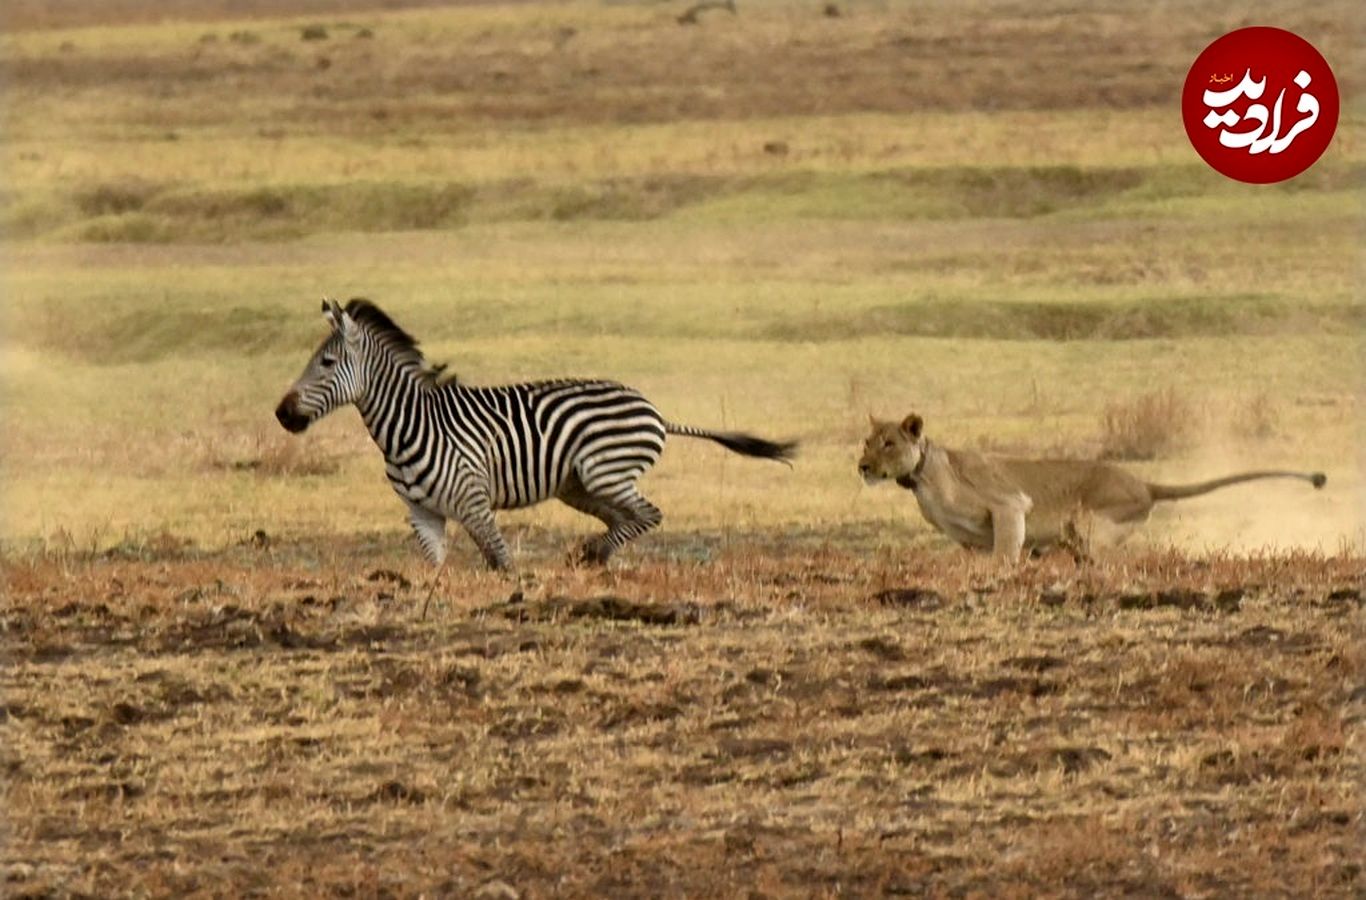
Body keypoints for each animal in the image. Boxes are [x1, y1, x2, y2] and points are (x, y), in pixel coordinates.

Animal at [271, 303, 797, 570]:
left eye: (327, 363)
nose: (282, 414)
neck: (408, 424)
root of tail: (655, 410)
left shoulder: (474, 501)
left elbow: (501, 561)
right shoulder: (423, 514)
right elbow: (436, 567)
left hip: (603, 472)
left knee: (648, 514)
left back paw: (593, 554)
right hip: (578, 486)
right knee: (625, 518)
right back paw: (593, 557)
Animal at [863, 415, 1322, 562]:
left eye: (889, 442)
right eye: (867, 441)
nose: (862, 466)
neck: (923, 477)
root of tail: (1142, 483)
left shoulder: (1011, 504)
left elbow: (1006, 554)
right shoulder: (969, 539)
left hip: (1092, 525)